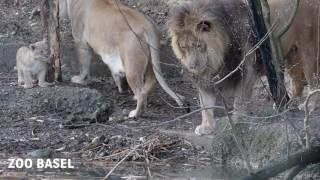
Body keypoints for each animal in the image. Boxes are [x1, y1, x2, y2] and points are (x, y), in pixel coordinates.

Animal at [168, 0, 260, 135]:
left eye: (198, 45)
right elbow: (206, 106)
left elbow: (240, 102)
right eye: (183, 47)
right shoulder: (204, 82)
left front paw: (238, 123)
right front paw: (207, 127)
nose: (192, 66)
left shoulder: (246, 72)